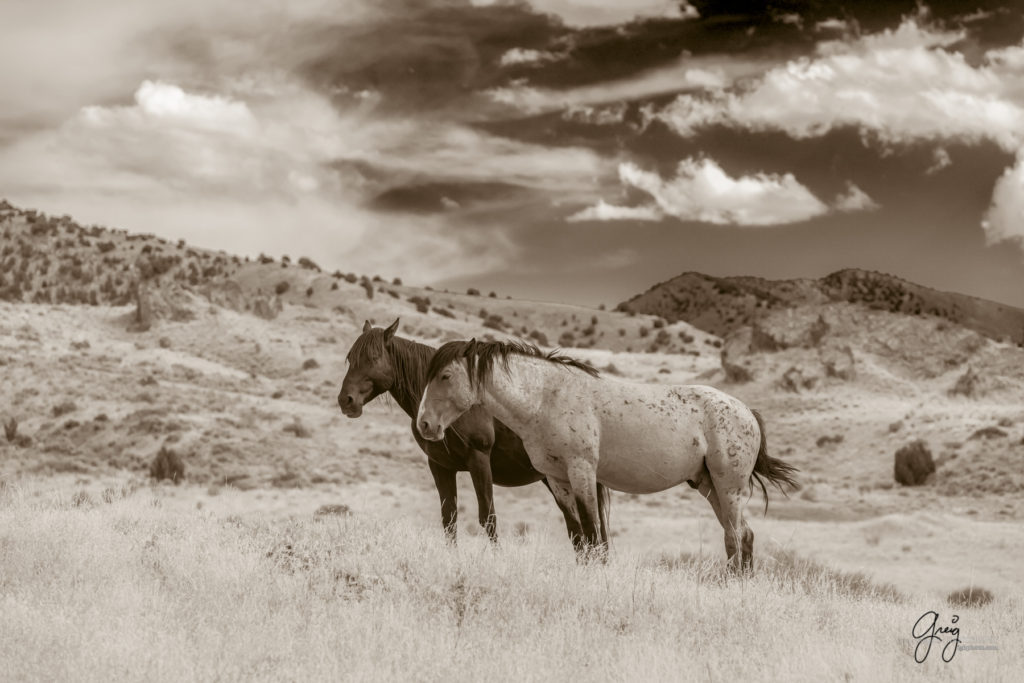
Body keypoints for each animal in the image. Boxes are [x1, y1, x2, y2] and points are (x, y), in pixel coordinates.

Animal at [335, 319, 606, 548]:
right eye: (350, 358)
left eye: (373, 357)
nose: (346, 401)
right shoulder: (440, 466)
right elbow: (449, 519)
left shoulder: (479, 460)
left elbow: (488, 518)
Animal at [415, 337, 798, 573]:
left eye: (445, 375)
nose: (425, 424)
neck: (547, 397)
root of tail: (747, 411)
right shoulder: (557, 479)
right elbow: (577, 535)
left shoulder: (582, 472)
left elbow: (593, 532)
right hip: (709, 487)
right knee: (743, 536)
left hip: (729, 488)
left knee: (735, 538)